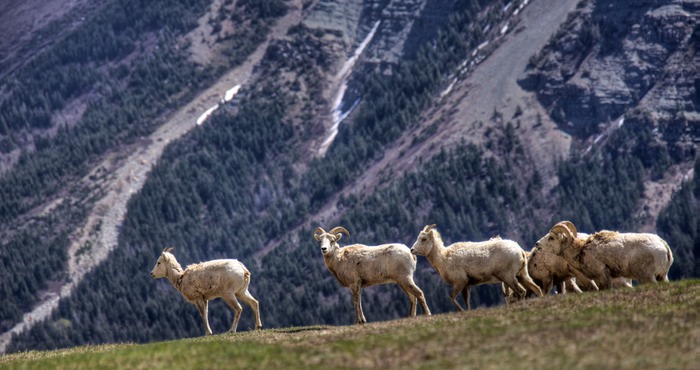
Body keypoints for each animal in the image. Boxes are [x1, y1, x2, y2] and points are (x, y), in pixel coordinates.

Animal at [408, 224, 544, 310]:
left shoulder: (460, 282)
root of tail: (519, 250)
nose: (412, 250)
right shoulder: (466, 285)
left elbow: (451, 298)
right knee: (536, 289)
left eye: (424, 239)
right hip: (521, 275)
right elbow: (467, 302)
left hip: (509, 277)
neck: (443, 258)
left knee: (521, 292)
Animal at [532, 221, 676, 288]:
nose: (537, 244)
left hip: (648, 277)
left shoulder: (602, 275)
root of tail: (663, 245)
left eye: (551, 238)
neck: (581, 250)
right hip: (662, 276)